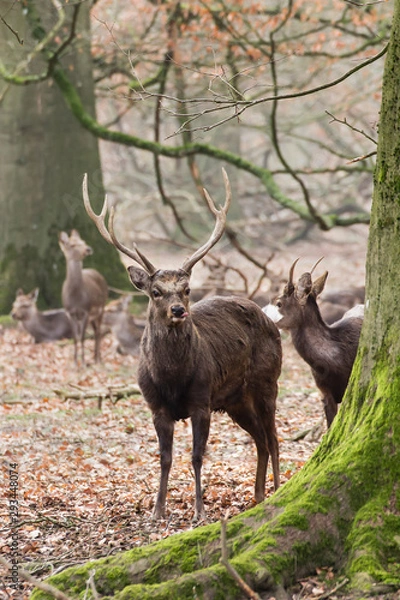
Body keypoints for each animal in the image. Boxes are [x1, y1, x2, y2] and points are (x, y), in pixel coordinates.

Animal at [57, 229, 108, 360]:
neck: (76, 299)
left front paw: (83, 361)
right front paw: (75, 361)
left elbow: (83, 337)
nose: (88, 249)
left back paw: (98, 358)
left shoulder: (86, 311)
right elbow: (76, 337)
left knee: (98, 331)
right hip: (92, 316)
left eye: (83, 241)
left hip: (102, 307)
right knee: (95, 331)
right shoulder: (69, 313)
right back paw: (94, 356)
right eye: (72, 245)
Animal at [82, 170, 282, 520]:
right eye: (156, 292)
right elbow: (165, 458)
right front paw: (157, 510)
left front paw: (199, 511)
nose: (178, 310)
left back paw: (277, 490)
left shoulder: (201, 400)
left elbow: (197, 456)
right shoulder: (156, 407)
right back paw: (257, 495)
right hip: (235, 400)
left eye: (187, 289)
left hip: (267, 381)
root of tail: (270, 318)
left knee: (273, 438)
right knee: (259, 438)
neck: (172, 377)